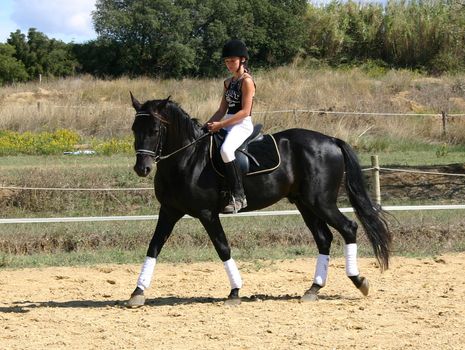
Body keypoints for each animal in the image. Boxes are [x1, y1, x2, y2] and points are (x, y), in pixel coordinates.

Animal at [126, 93, 388, 306]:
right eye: (134, 129)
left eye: (155, 131)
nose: (142, 168)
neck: (188, 158)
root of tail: (332, 140)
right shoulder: (169, 211)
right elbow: (153, 246)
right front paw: (137, 293)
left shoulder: (207, 213)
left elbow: (223, 247)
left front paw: (234, 292)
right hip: (305, 204)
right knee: (324, 238)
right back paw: (313, 289)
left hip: (320, 202)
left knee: (349, 228)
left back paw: (358, 281)